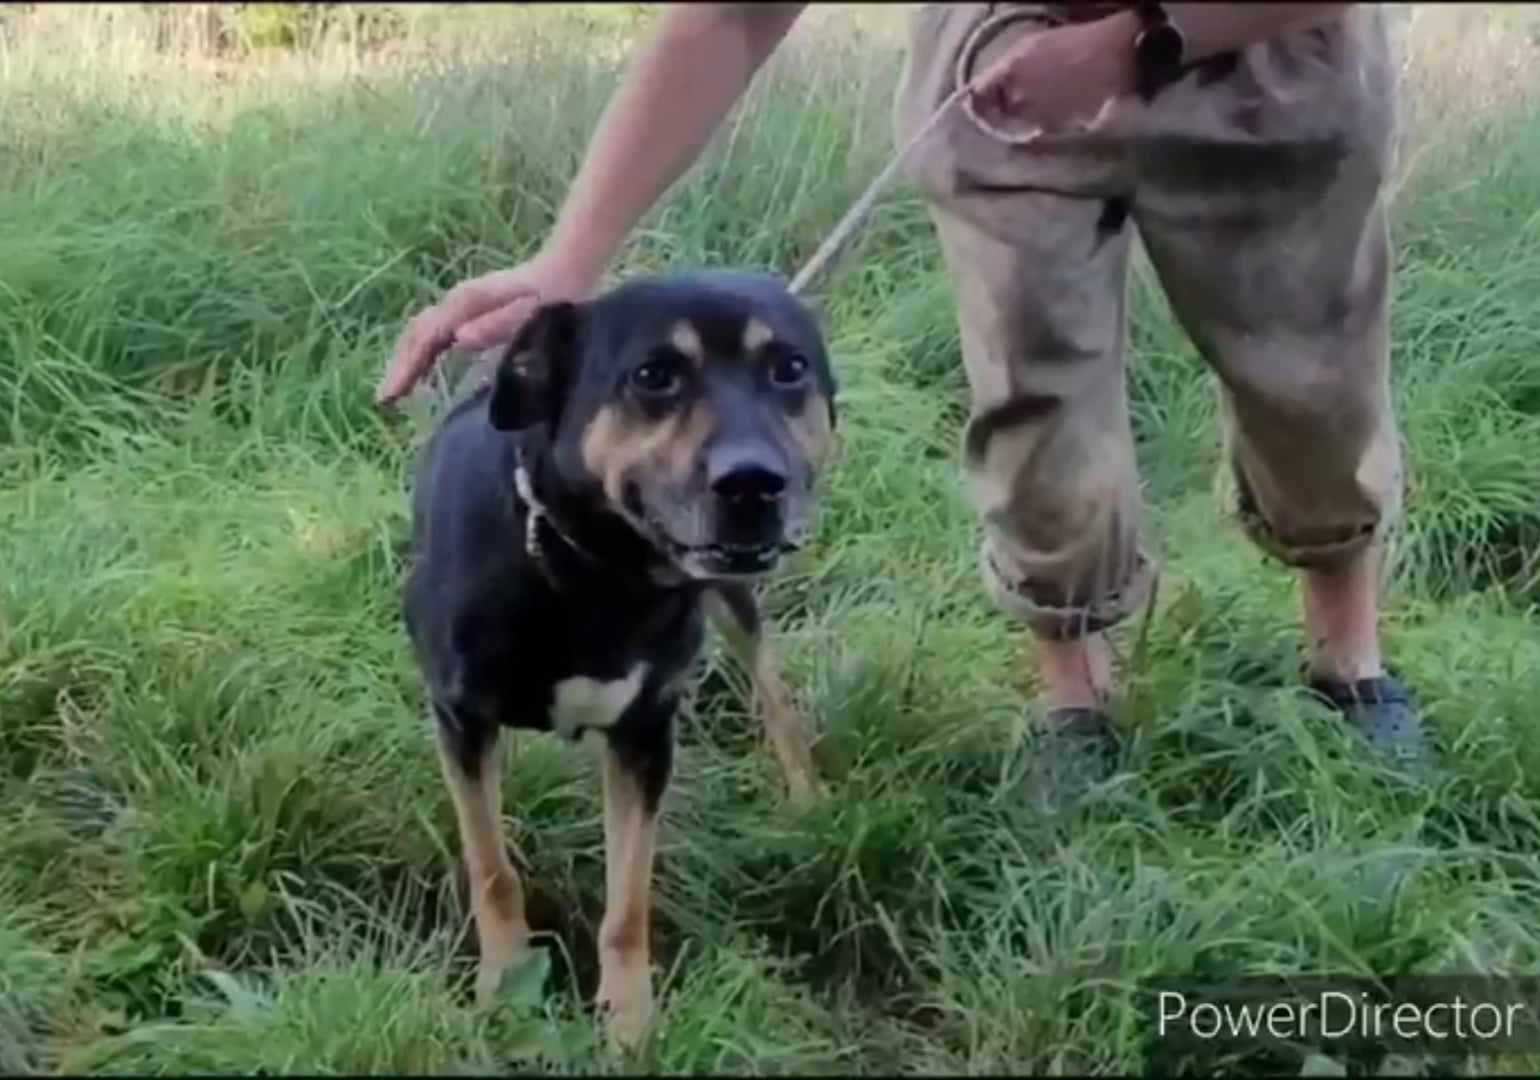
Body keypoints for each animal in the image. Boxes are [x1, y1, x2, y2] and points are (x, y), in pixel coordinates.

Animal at [403, 268, 837, 1047]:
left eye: (789, 368)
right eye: (653, 376)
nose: (753, 483)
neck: (596, 573)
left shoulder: (644, 735)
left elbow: (628, 899)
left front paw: (629, 1017)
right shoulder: (461, 721)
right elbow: (491, 868)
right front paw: (506, 986)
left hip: (732, 594)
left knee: (770, 683)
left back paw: (807, 799)